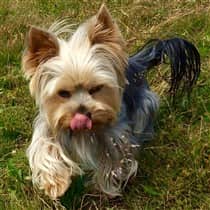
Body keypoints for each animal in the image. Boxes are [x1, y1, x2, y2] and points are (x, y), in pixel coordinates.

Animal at [21, 4, 200, 199]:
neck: (84, 133)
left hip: (144, 105)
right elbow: (43, 149)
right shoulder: (49, 126)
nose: (83, 114)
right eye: (63, 93)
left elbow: (114, 162)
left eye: (96, 88)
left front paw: (106, 188)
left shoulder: (116, 137)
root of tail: (135, 62)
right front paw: (55, 184)